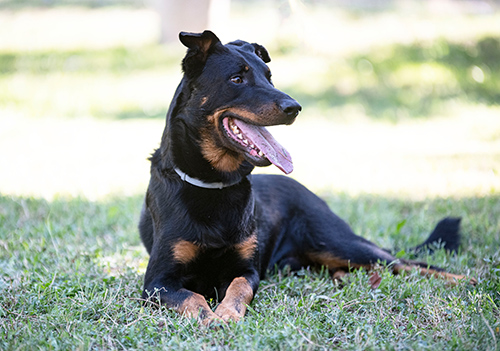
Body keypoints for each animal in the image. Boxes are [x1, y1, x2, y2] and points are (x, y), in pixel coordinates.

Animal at [139, 30, 474, 328]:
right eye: (237, 79)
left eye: (269, 76)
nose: (294, 107)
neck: (213, 184)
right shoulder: (157, 282)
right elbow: (193, 297)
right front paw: (210, 317)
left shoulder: (246, 270)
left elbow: (238, 289)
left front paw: (226, 314)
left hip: (337, 242)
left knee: (408, 263)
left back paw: (466, 279)